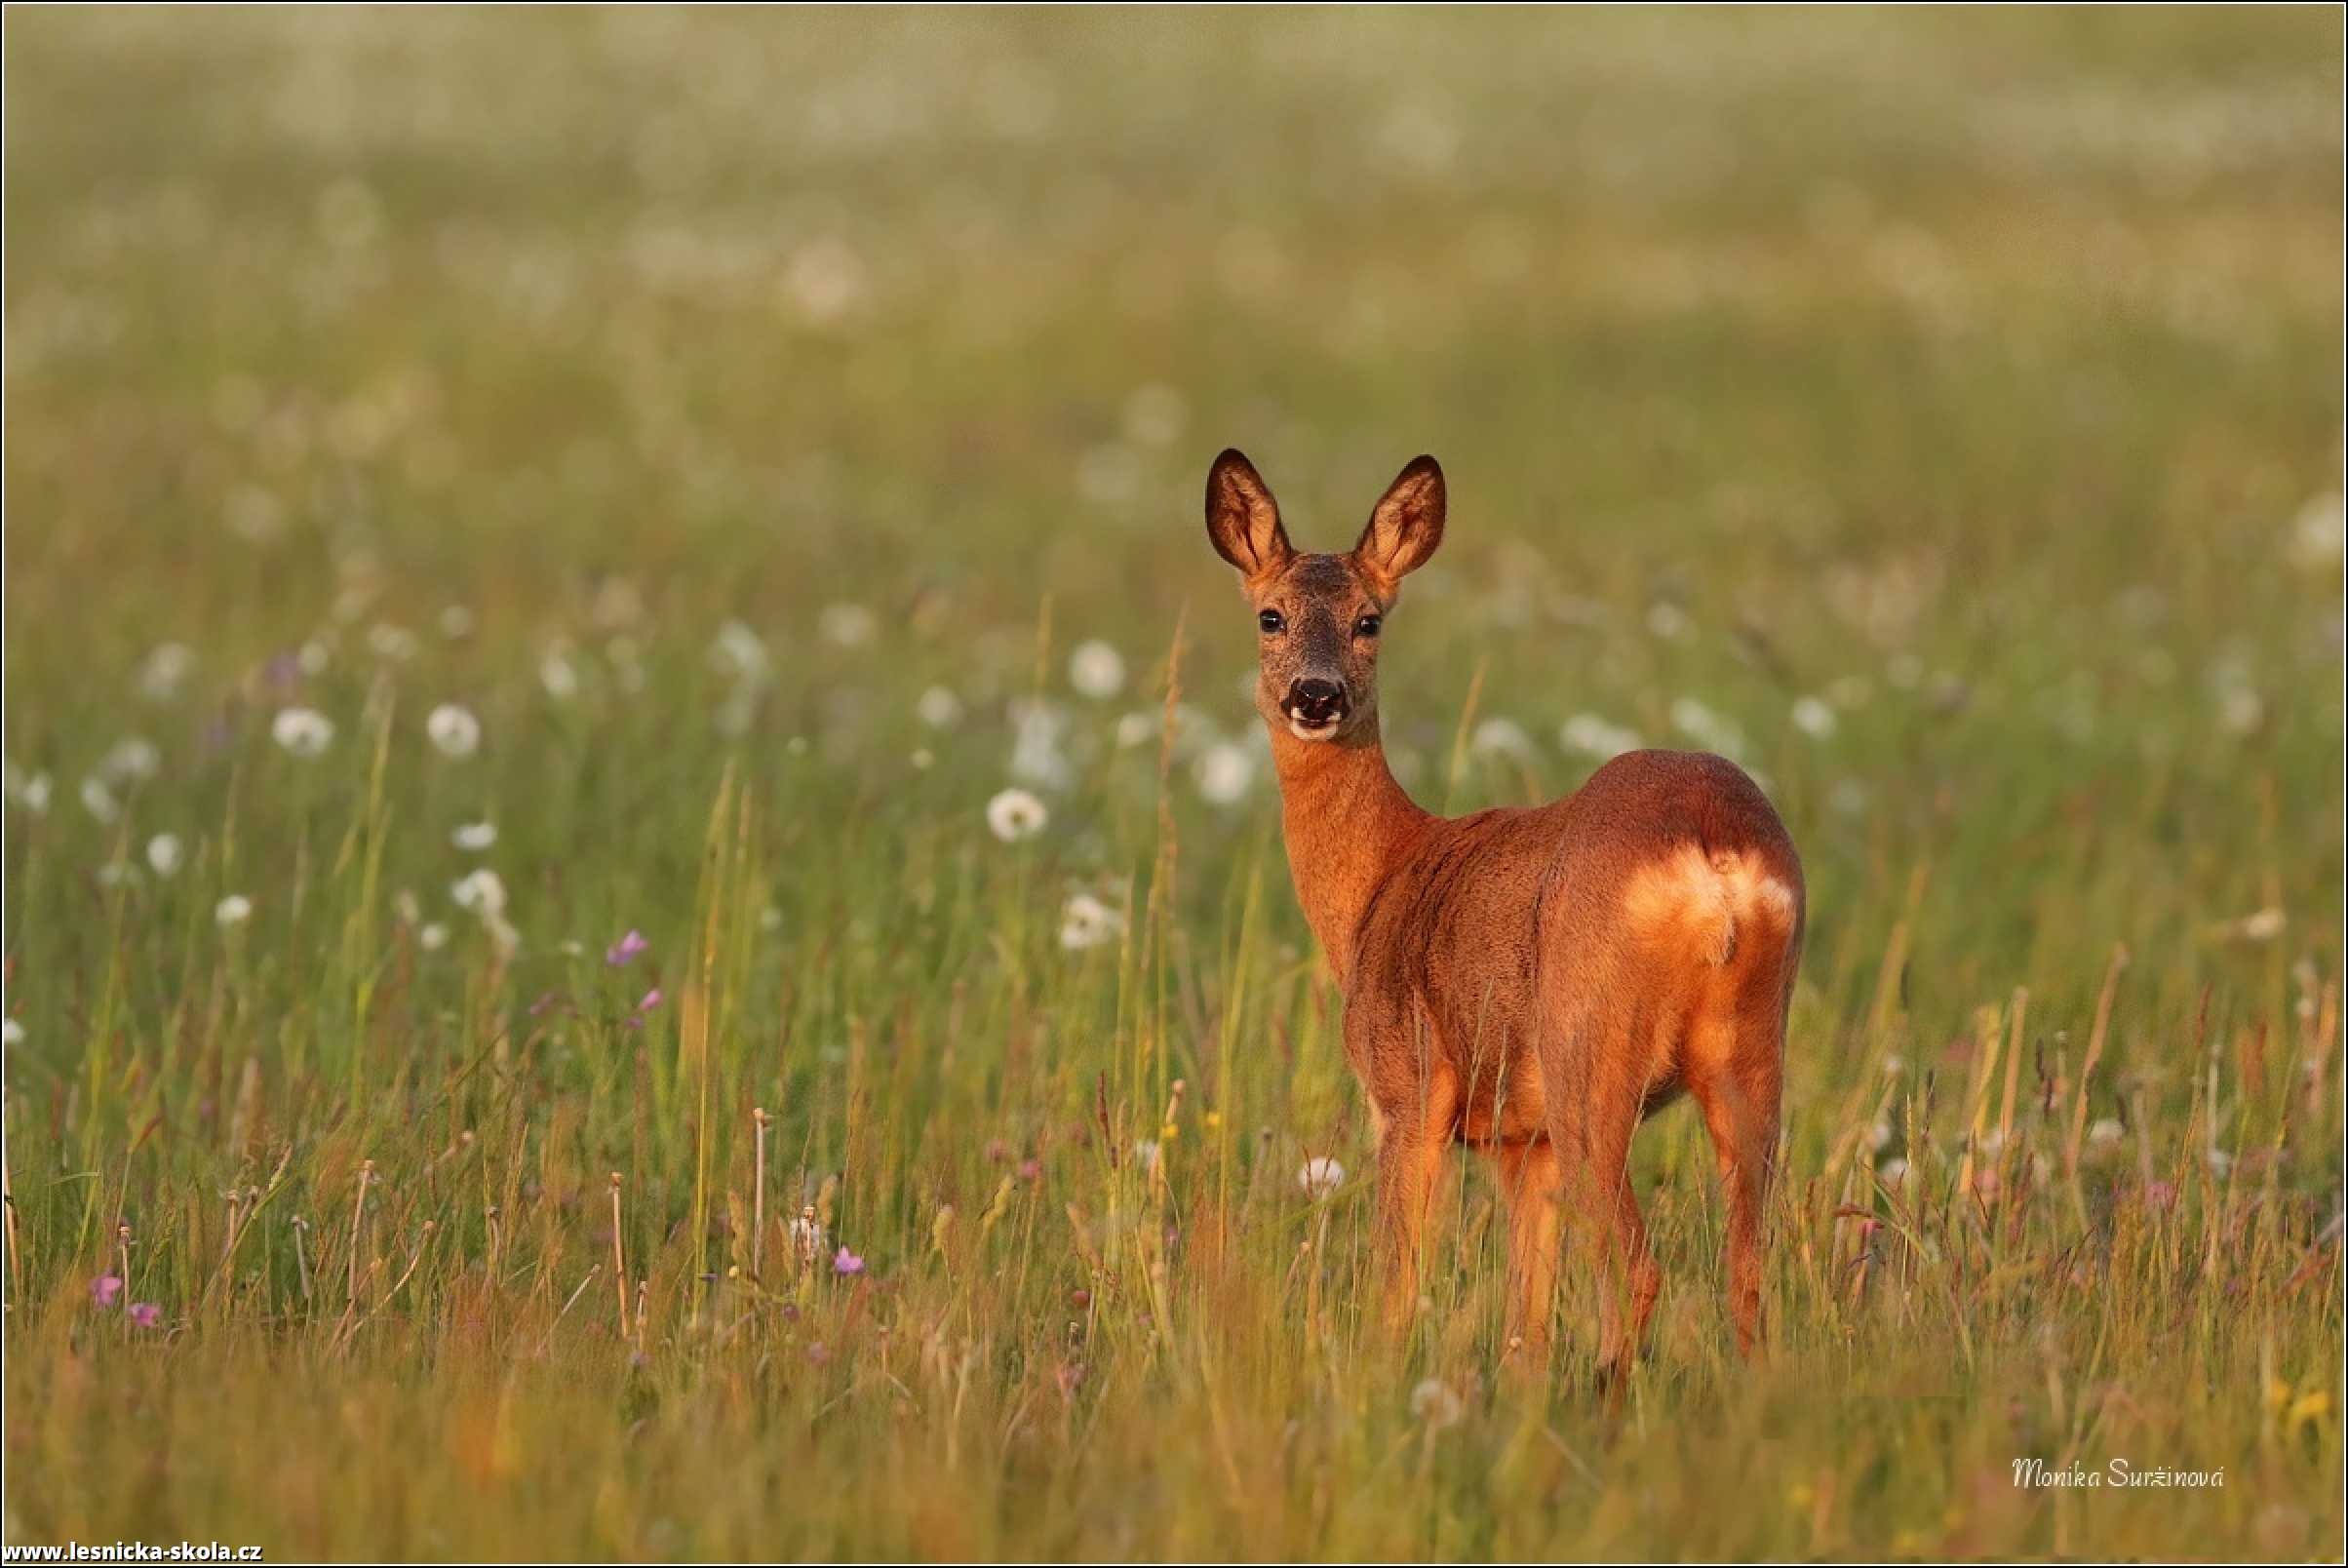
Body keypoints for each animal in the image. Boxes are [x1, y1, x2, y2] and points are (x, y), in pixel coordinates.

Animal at [1201, 443, 1803, 1370]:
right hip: (1749, 1053)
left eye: (1370, 621)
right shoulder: (1527, 1144)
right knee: (1748, 1276)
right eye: (1271, 616)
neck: (1380, 881)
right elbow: (1527, 1321)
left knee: (1638, 1272)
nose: (1316, 695)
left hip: (1590, 1051)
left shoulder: (1408, 1091)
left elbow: (1398, 1285)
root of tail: (1714, 860)